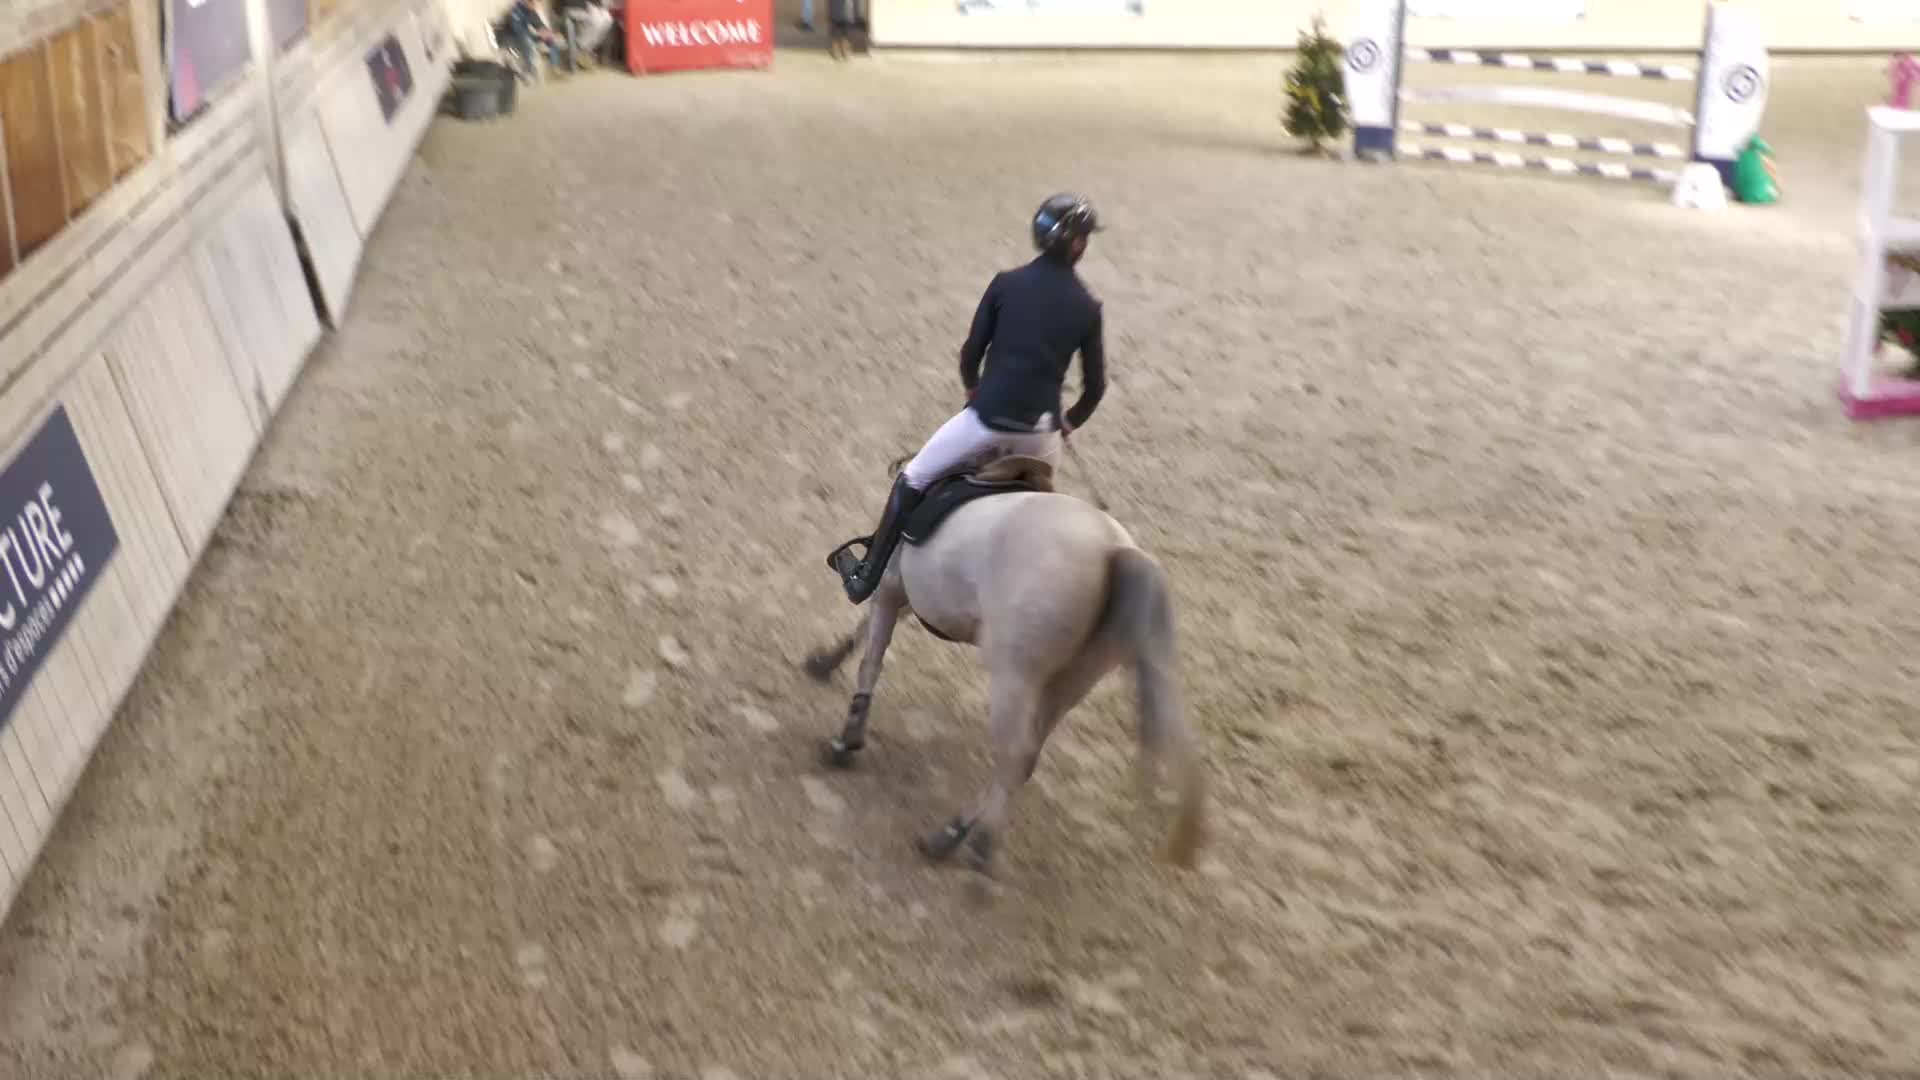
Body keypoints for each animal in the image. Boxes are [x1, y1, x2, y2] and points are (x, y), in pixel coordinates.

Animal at [803, 452, 1207, 877]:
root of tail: (1113, 551)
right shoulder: (912, 595)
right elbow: (864, 634)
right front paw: (825, 661)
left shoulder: (892, 588)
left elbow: (872, 658)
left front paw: (846, 741)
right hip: (1071, 683)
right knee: (1025, 761)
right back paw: (954, 833)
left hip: (1015, 678)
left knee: (1014, 756)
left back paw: (973, 842)